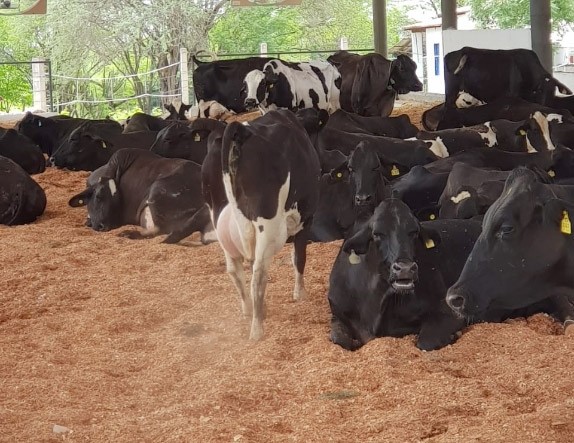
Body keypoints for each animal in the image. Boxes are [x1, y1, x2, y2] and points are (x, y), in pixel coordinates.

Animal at [200, 110, 322, 340]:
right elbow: (299, 257)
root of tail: (241, 129)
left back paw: (249, 310)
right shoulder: (306, 217)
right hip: (269, 223)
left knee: (235, 269)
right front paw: (300, 294)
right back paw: (257, 329)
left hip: (219, 219)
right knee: (258, 275)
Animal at [328, 198, 486, 354]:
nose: (405, 268)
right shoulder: (338, 313)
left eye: (415, 231)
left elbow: (426, 341)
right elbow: (339, 339)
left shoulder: (449, 311)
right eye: (377, 233)